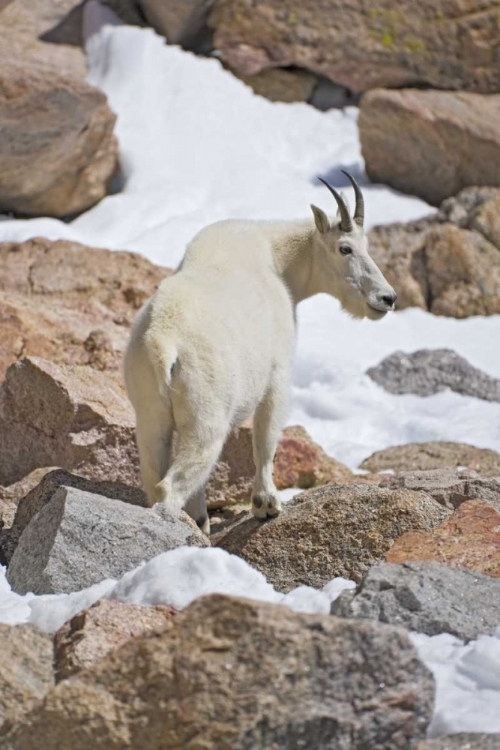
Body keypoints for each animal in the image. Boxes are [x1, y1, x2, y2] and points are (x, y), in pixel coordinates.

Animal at [124, 174, 394, 536]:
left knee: (155, 474)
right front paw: (267, 505)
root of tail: (162, 339)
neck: (278, 260)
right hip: (206, 414)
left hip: (149, 411)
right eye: (345, 248)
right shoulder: (277, 376)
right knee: (174, 484)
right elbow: (265, 442)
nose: (387, 298)